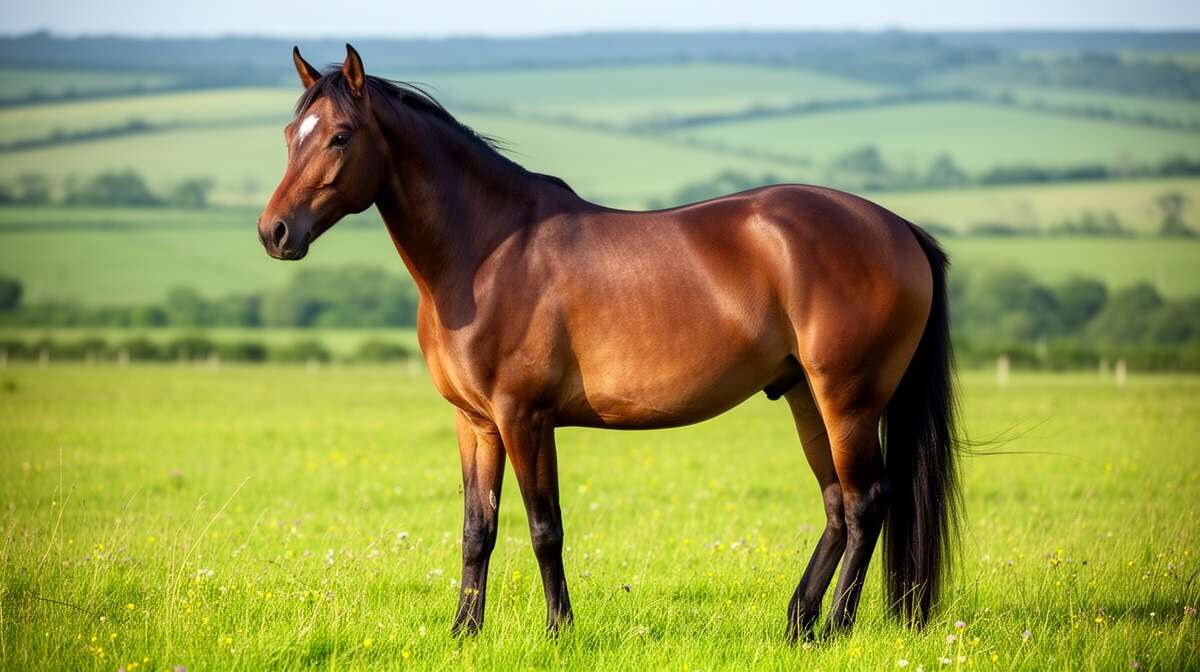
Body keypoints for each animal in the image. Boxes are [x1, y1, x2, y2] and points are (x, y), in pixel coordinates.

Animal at [259, 44, 960, 641]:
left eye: (340, 136)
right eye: (291, 135)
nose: (274, 231)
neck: (485, 252)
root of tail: (899, 228)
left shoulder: (524, 416)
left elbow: (544, 527)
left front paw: (558, 631)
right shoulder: (475, 423)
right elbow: (476, 530)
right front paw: (464, 633)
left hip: (847, 401)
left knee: (867, 503)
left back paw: (834, 627)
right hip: (804, 396)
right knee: (838, 505)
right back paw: (798, 624)